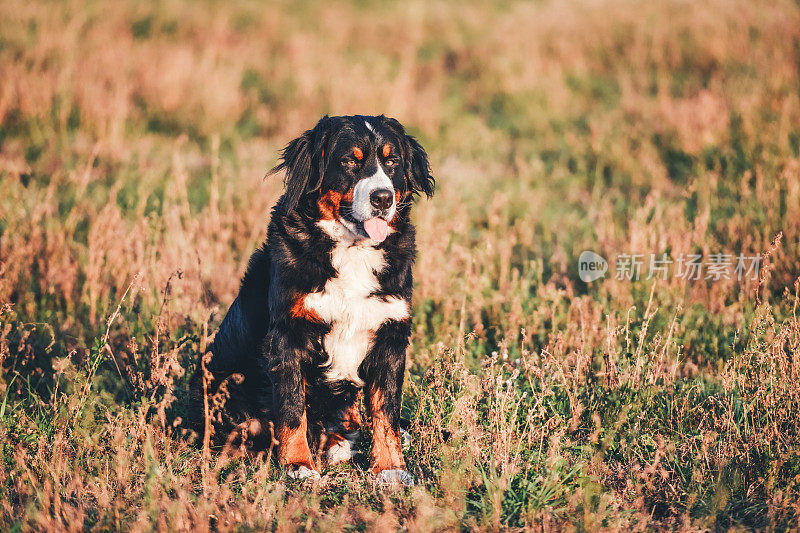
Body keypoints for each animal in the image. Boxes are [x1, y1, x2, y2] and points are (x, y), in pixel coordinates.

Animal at [188, 114, 434, 484]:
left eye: (392, 162)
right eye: (350, 161)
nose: (382, 198)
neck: (352, 251)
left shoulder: (390, 333)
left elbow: (385, 412)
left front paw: (391, 468)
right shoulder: (289, 336)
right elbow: (292, 409)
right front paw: (298, 465)